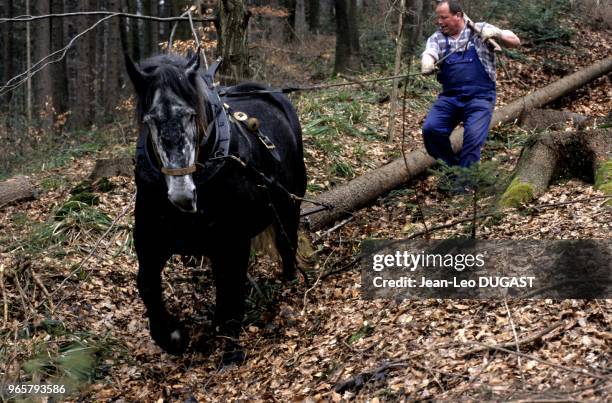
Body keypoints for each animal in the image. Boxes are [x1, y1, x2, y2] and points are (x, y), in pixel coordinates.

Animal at [125, 52, 306, 364]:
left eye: (191, 115)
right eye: (150, 120)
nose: (182, 195)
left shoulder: (233, 241)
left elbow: (230, 288)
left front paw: (229, 347)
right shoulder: (151, 243)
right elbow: (147, 283)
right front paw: (171, 336)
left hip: (289, 204)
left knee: (286, 244)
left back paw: (289, 284)